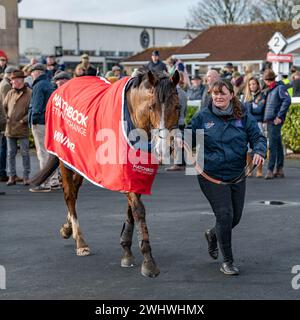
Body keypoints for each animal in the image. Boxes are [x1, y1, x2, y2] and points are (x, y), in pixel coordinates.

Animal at [31, 69, 179, 278]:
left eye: (178, 106)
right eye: (152, 106)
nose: (164, 148)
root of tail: (61, 87)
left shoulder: (135, 175)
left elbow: (131, 210)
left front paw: (126, 250)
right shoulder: (122, 172)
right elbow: (138, 210)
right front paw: (148, 262)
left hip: (81, 161)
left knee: (75, 190)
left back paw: (68, 229)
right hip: (65, 156)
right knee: (69, 195)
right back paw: (80, 241)